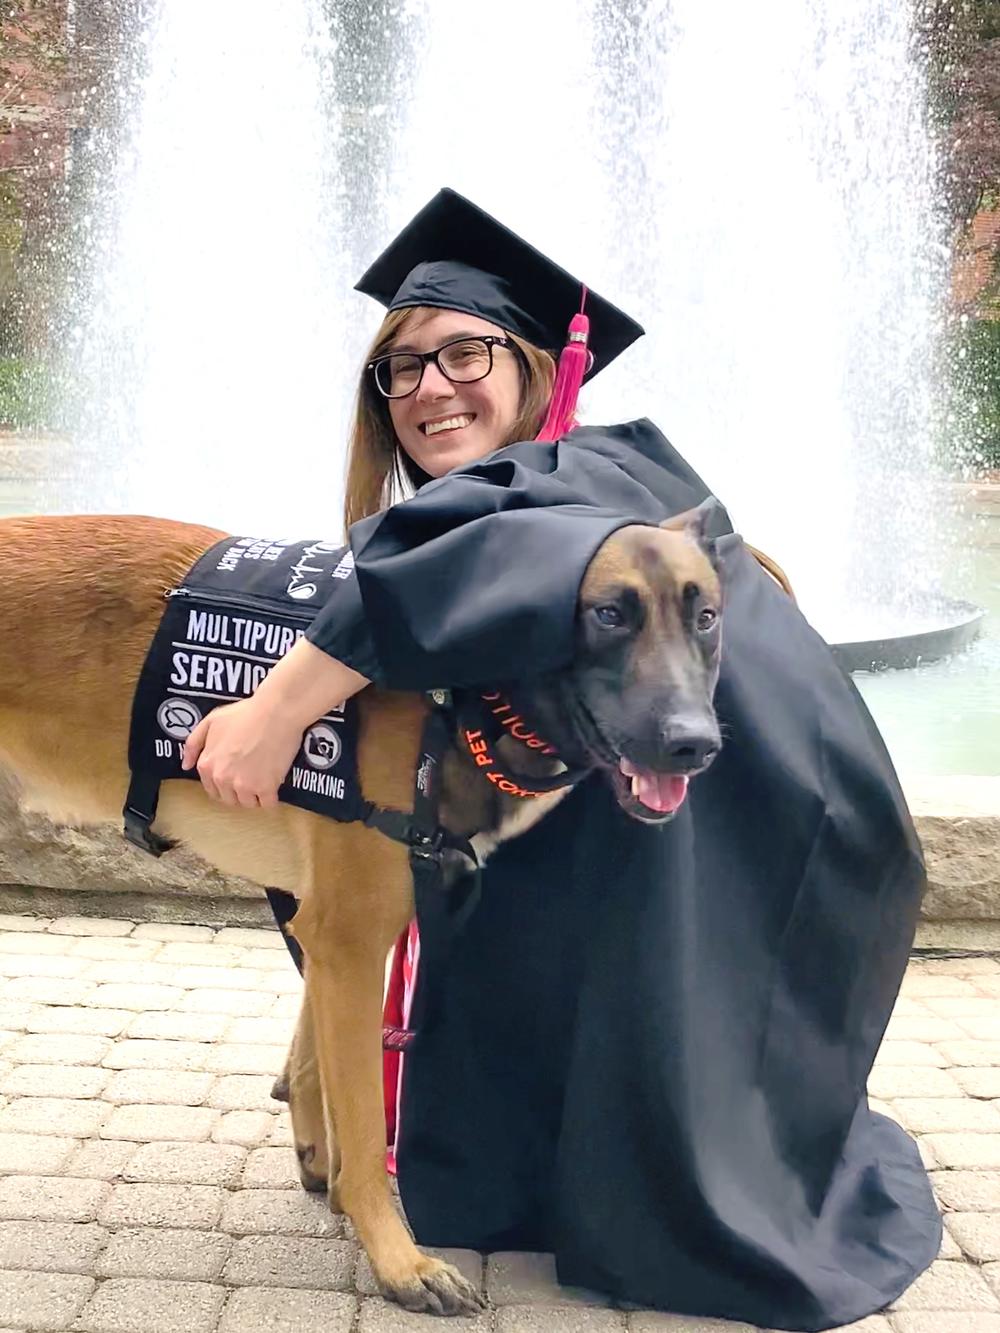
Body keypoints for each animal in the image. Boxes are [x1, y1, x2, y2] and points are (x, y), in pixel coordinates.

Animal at [0, 506, 725, 1311]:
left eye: (706, 618)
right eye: (607, 615)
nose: (696, 744)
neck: (456, 699)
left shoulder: (323, 933)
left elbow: (313, 1065)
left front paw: (325, 1165)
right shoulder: (348, 941)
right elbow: (364, 1114)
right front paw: (398, 1258)